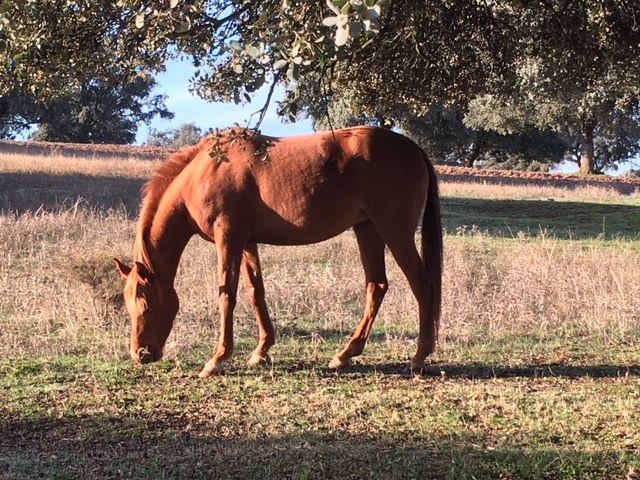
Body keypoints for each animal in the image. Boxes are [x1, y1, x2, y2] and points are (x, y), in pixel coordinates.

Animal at [115, 126, 442, 378]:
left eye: (147, 306)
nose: (140, 354)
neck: (205, 172)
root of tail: (413, 149)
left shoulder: (228, 240)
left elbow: (226, 296)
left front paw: (217, 359)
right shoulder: (247, 244)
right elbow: (255, 292)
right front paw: (261, 351)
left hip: (394, 232)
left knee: (421, 283)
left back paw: (418, 357)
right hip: (367, 230)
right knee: (377, 286)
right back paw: (345, 354)